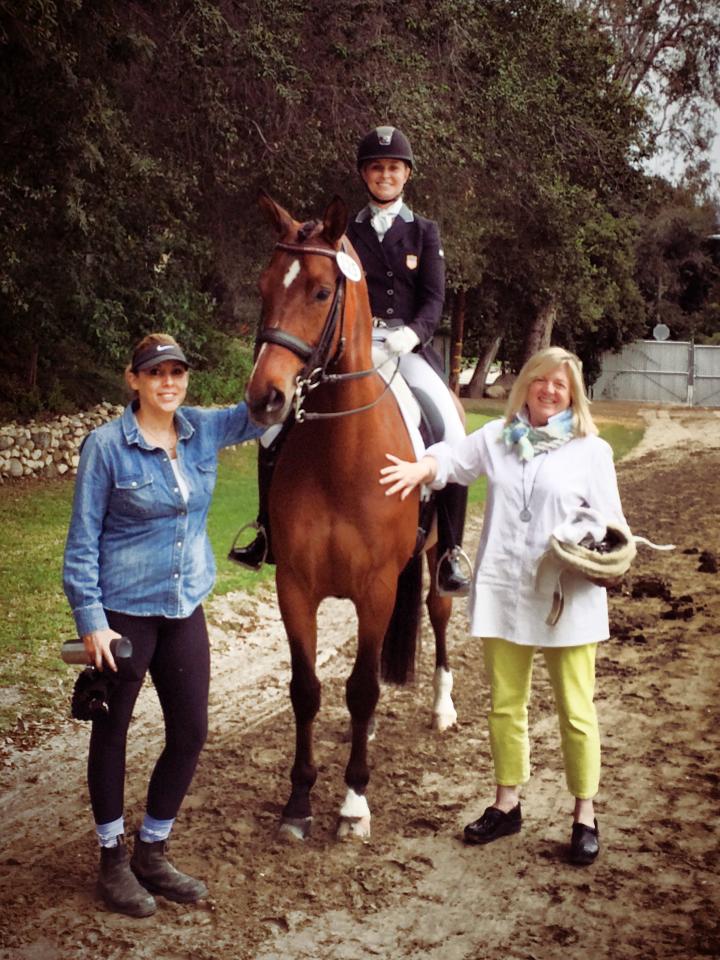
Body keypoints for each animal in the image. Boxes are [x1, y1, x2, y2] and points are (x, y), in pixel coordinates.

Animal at [245, 191, 458, 836]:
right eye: (264, 286)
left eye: (320, 292)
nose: (264, 398)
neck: (341, 454)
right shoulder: (295, 587)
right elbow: (307, 689)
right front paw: (297, 801)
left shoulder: (375, 588)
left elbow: (361, 689)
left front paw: (354, 803)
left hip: (433, 558)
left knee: (439, 613)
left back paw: (442, 707)